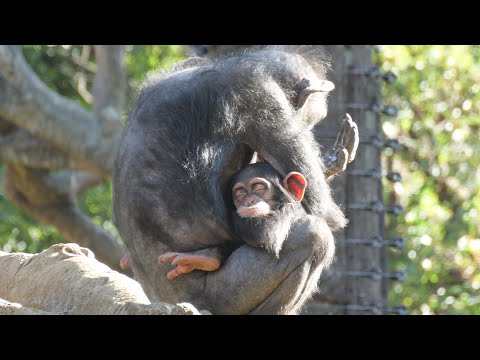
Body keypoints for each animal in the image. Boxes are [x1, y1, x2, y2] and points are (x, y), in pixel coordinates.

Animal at [114, 46, 350, 314]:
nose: (309, 130)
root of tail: (161, 299)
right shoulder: (261, 98)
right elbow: (322, 210)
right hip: (220, 297)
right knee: (313, 236)